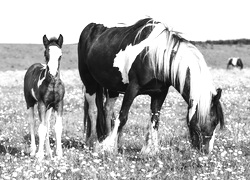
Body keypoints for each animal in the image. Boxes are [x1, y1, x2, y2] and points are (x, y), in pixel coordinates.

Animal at [78, 17, 225, 153]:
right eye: (214, 122)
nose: (206, 151)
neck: (155, 56)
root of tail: (91, 27)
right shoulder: (132, 88)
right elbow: (123, 116)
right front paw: (107, 147)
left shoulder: (159, 93)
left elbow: (155, 119)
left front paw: (150, 150)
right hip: (89, 83)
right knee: (92, 110)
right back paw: (92, 142)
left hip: (112, 87)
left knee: (107, 110)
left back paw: (108, 141)